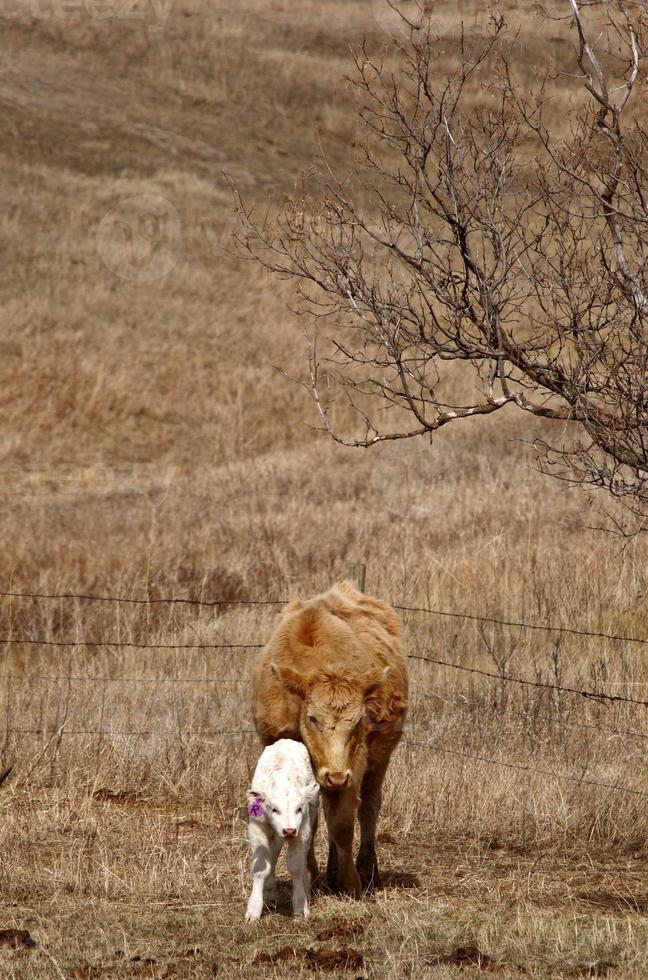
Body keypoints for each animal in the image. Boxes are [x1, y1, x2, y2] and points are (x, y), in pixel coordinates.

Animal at [244, 740, 320, 924]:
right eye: (274, 809)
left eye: (299, 808)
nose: (289, 830)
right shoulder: (257, 829)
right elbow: (260, 867)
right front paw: (254, 910)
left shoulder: (302, 831)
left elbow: (296, 866)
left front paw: (300, 906)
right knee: (273, 854)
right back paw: (269, 891)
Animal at [252, 580, 408, 896]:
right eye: (313, 718)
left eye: (359, 719)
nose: (336, 776)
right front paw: (309, 877)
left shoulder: (356, 763)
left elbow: (343, 824)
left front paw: (351, 883)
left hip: (378, 762)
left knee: (369, 807)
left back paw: (365, 870)